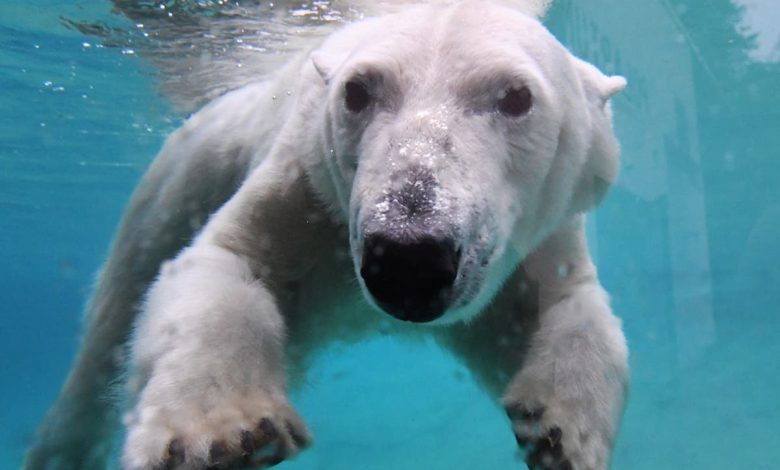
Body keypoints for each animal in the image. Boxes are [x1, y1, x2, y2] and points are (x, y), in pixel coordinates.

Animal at [27, 0, 632, 470]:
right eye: (357, 91)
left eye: (516, 96)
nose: (408, 258)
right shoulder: (305, 188)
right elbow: (229, 262)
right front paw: (220, 436)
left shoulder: (538, 239)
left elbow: (560, 307)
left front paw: (561, 434)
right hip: (180, 183)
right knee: (109, 330)